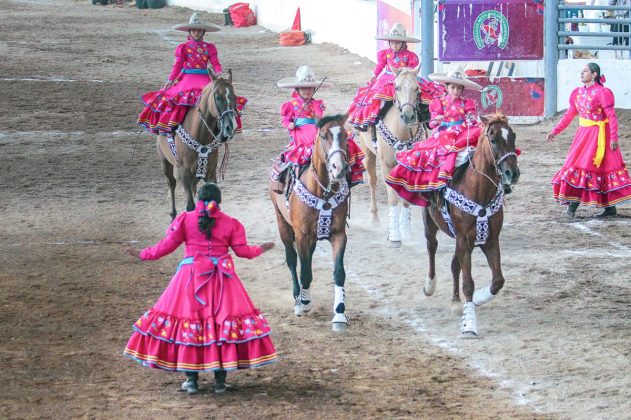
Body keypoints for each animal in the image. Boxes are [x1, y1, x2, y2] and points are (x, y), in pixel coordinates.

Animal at [157, 69, 238, 220]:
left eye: (234, 97)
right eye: (217, 97)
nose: (231, 127)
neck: (201, 136)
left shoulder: (211, 172)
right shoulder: (184, 173)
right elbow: (190, 206)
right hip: (165, 162)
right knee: (171, 184)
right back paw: (173, 216)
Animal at [270, 114, 354, 332]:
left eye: (345, 135)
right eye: (323, 135)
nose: (339, 168)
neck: (322, 191)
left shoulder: (338, 234)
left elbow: (339, 272)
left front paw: (339, 314)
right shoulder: (301, 235)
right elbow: (305, 271)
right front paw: (304, 303)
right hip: (282, 223)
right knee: (293, 260)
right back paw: (297, 296)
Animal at [358, 65, 428, 246]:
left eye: (417, 88)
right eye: (396, 87)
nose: (408, 116)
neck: (401, 132)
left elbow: (405, 197)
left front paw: (405, 230)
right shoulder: (386, 165)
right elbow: (392, 198)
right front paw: (395, 234)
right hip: (368, 153)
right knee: (372, 181)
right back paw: (374, 217)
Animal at [422, 111, 520, 338]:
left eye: (513, 136)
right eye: (493, 139)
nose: (512, 173)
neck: (478, 190)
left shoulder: (490, 240)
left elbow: (497, 281)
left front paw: (476, 300)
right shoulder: (464, 240)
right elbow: (468, 284)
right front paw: (469, 327)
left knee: (454, 264)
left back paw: (456, 302)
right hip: (430, 223)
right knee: (432, 247)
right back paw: (430, 285)